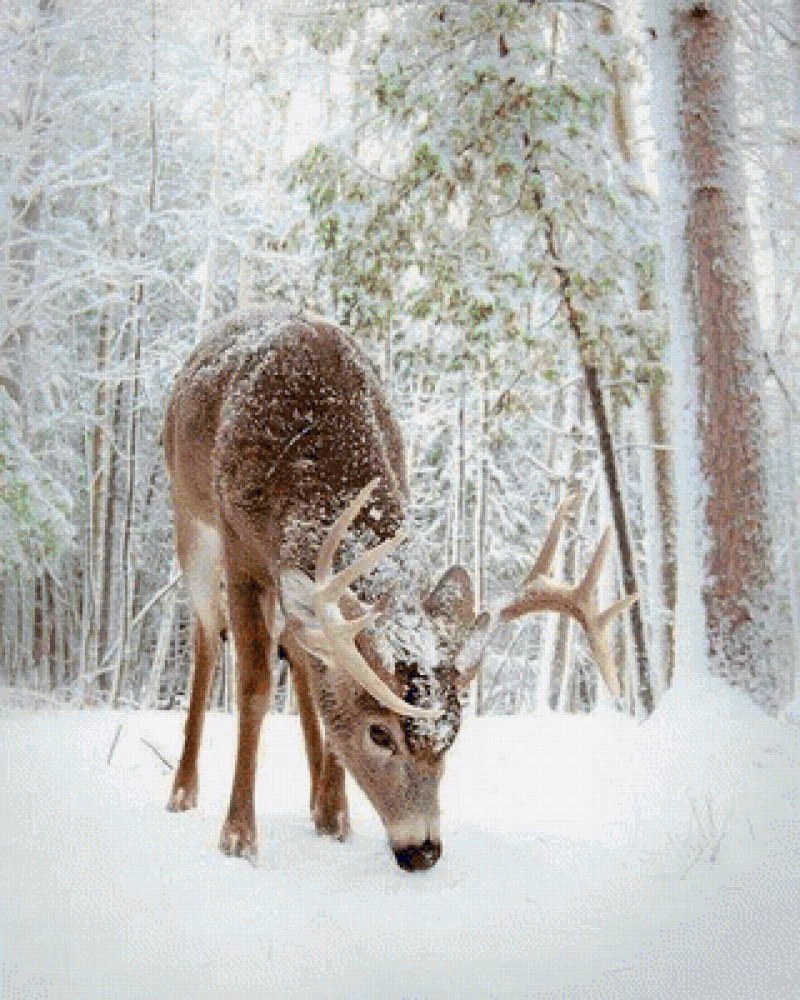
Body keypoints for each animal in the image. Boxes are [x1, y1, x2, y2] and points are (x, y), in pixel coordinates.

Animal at [162, 309, 636, 871]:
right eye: (379, 732)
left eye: (453, 734)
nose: (423, 850)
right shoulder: (241, 547)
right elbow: (253, 686)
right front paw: (238, 836)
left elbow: (326, 680)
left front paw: (334, 817)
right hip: (189, 519)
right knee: (208, 637)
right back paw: (183, 790)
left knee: (299, 652)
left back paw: (320, 802)